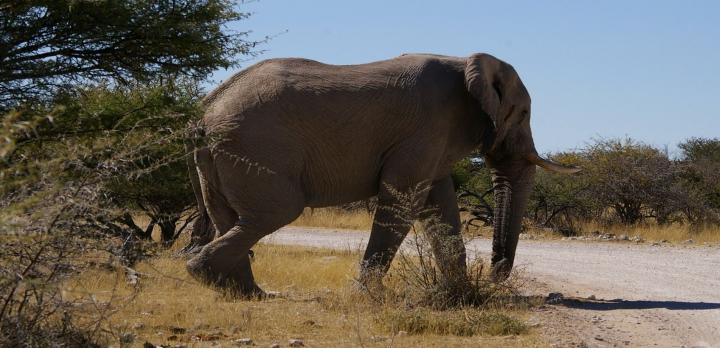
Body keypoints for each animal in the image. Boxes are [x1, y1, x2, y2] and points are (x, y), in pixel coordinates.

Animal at [186, 53, 580, 298]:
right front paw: (370, 295)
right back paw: (204, 275)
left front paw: (460, 292)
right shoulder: (426, 127)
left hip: (220, 156)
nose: (496, 272)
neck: (464, 62)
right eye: (523, 113)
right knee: (274, 213)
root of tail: (204, 113)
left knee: (230, 218)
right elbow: (403, 201)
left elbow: (440, 205)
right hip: (254, 147)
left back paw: (244, 292)